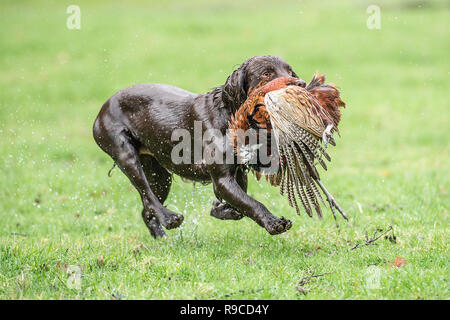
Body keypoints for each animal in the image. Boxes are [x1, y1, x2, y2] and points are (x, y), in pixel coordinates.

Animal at [93, 56, 308, 239]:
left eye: (290, 71)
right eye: (266, 73)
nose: (300, 84)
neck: (231, 115)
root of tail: (103, 107)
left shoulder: (238, 174)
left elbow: (238, 205)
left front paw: (220, 209)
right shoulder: (223, 179)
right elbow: (253, 203)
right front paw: (274, 223)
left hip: (159, 175)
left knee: (147, 209)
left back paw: (163, 238)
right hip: (124, 152)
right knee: (147, 196)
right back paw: (170, 219)